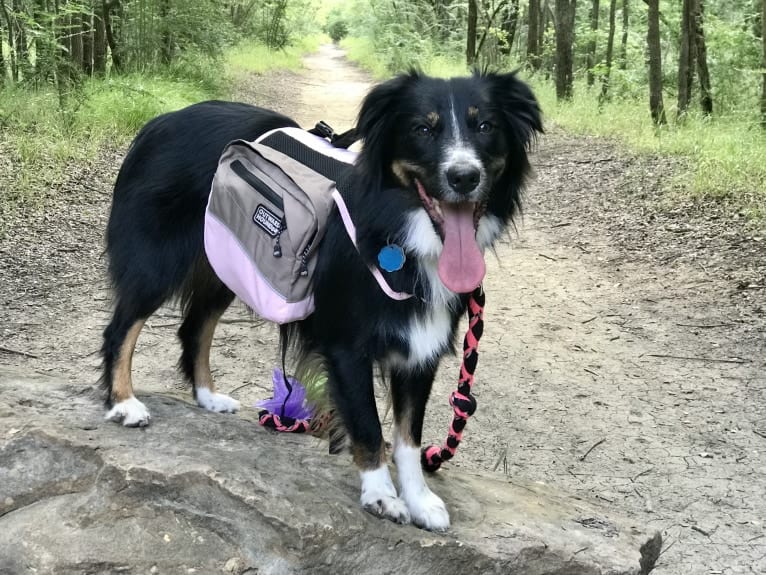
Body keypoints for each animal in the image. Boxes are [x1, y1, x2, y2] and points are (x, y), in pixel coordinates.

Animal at [100, 71, 544, 532]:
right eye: (423, 129)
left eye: (485, 126)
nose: (463, 176)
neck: (399, 229)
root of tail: (159, 122)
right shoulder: (347, 345)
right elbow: (367, 424)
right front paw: (381, 495)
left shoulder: (420, 346)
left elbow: (408, 435)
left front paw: (419, 499)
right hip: (158, 262)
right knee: (121, 329)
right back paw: (124, 403)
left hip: (227, 259)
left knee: (194, 328)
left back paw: (208, 397)